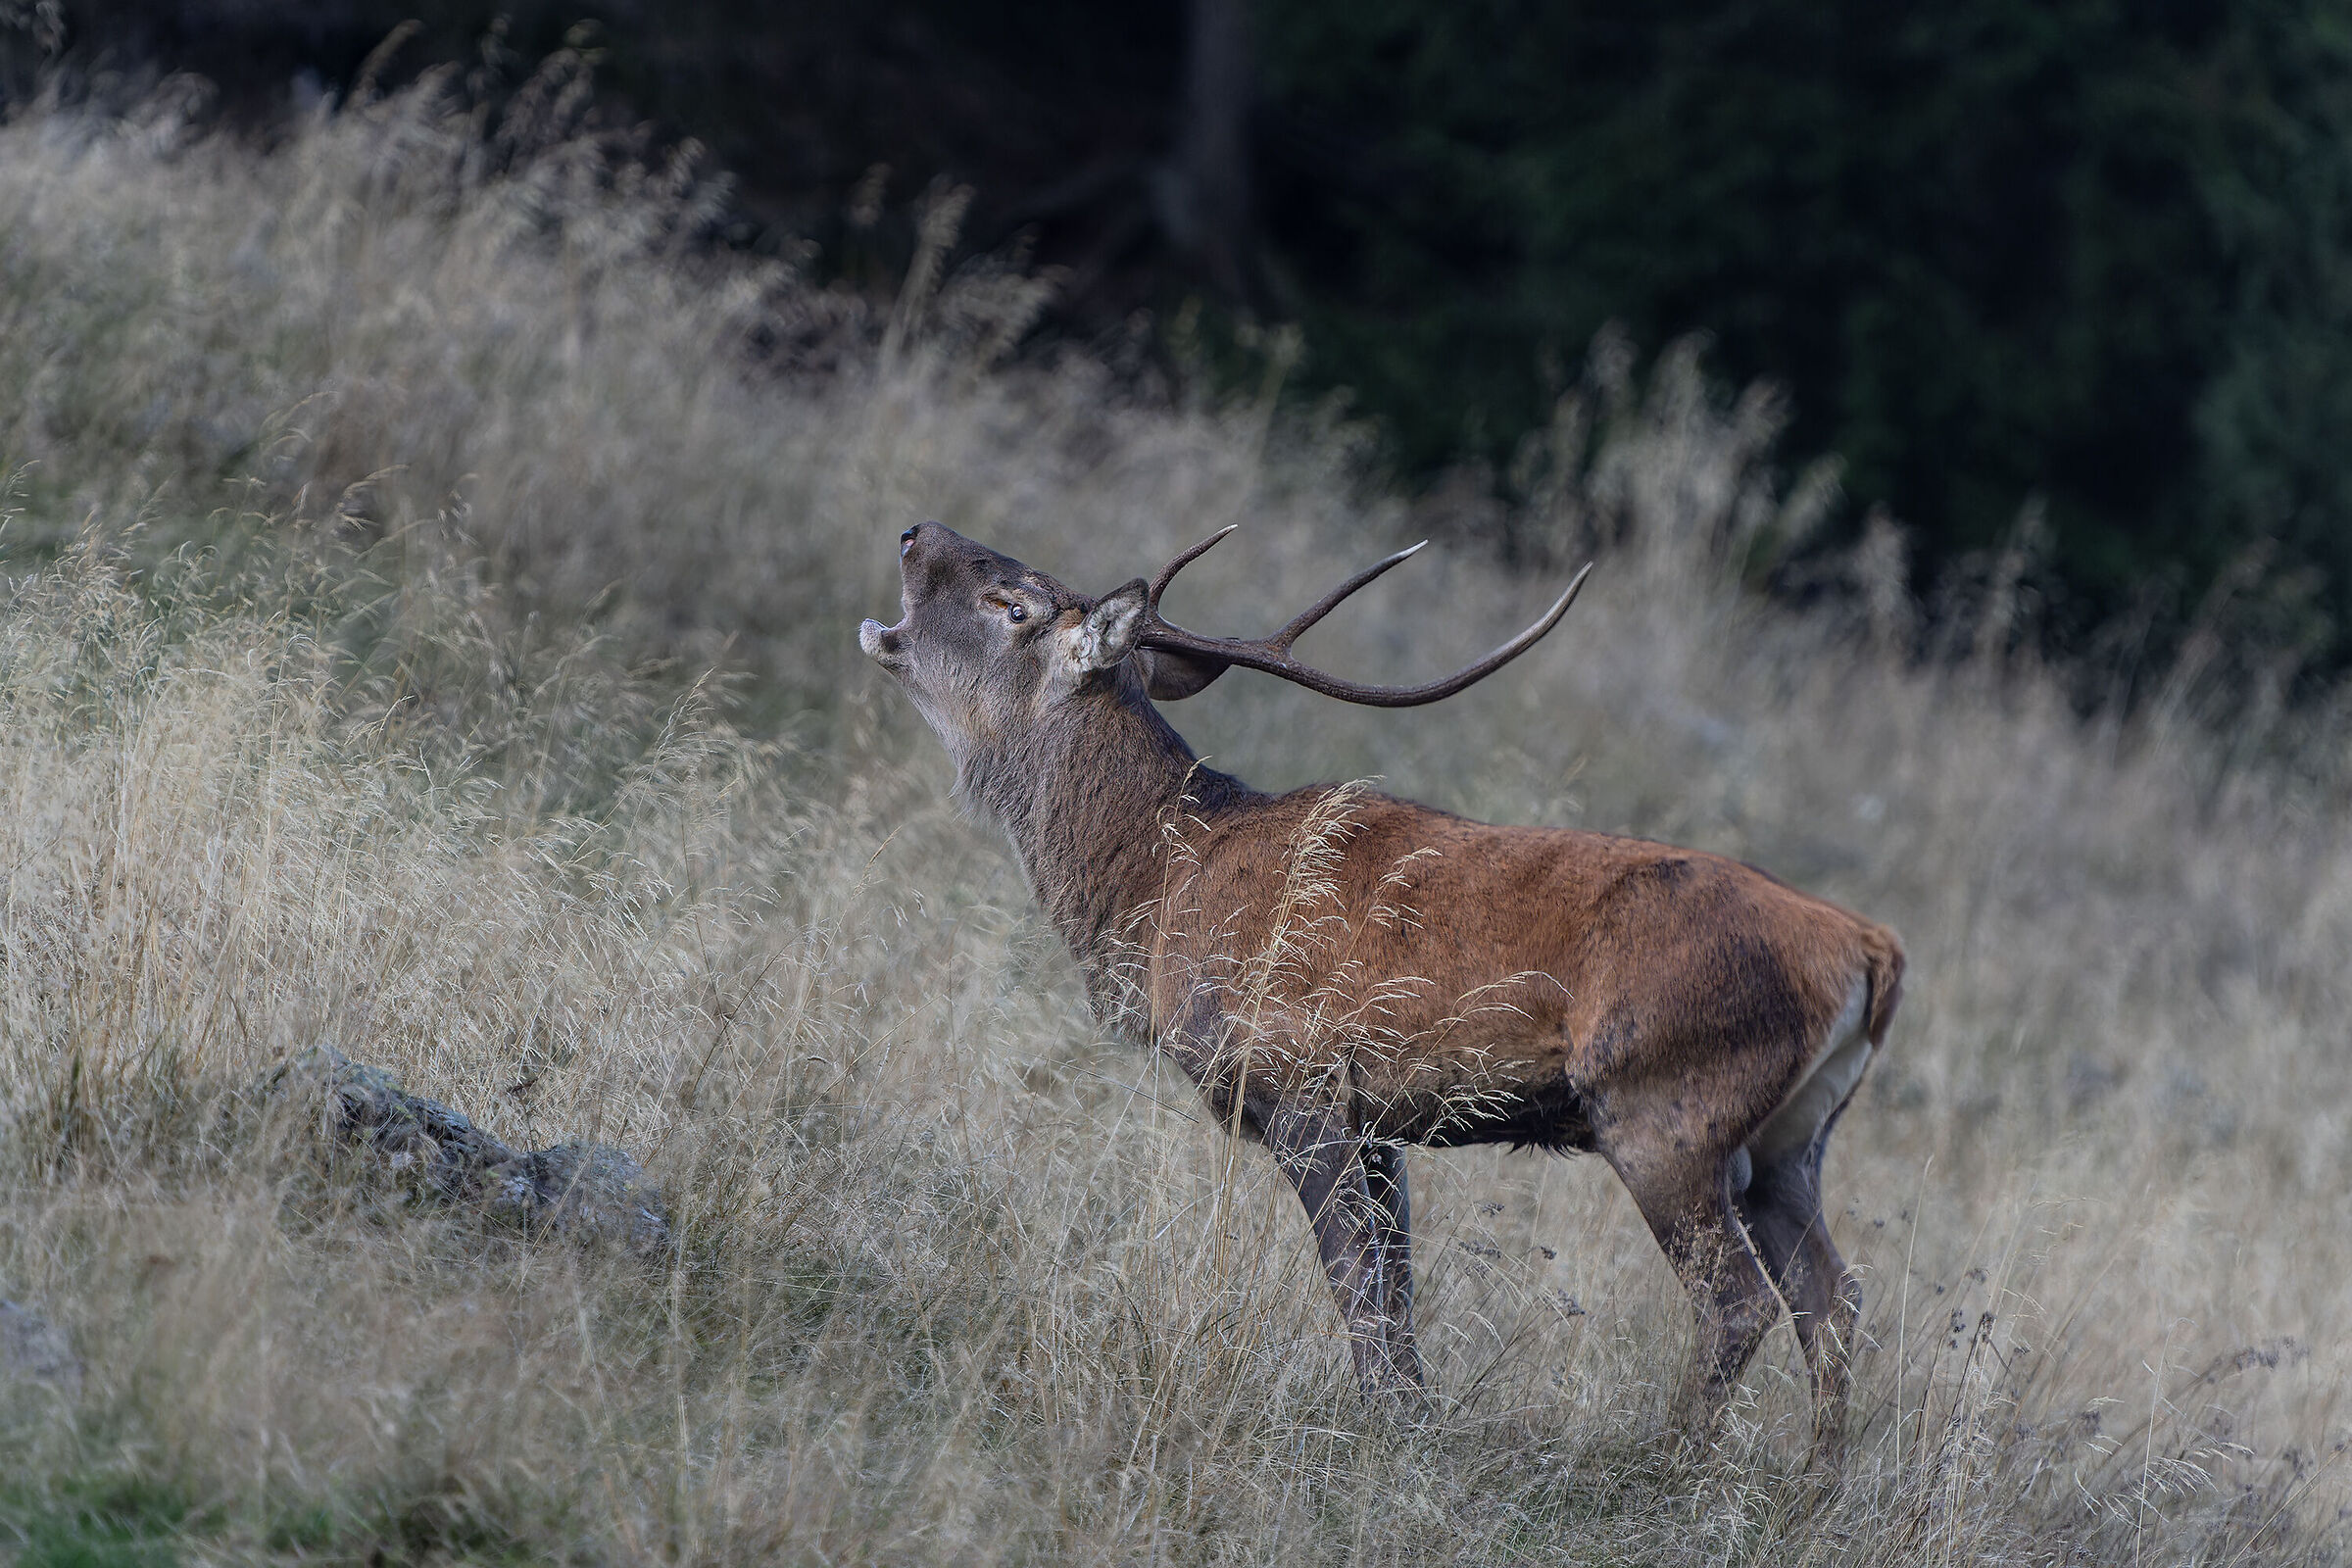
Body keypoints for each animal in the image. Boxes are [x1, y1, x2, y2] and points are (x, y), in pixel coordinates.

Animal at [860, 519, 1903, 1462]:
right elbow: (1395, 1292)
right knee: (1835, 1296)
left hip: (1666, 1111)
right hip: (1788, 1140)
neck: (1157, 894)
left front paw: (1374, 1433)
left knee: (1737, 1300)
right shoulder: (1380, 1122)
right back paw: (1813, 1487)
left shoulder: (1301, 1084)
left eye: (1015, 605)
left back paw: (1664, 1469)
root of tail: (1870, 948)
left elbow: (1356, 1283)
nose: (914, 531)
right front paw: (1409, 1422)